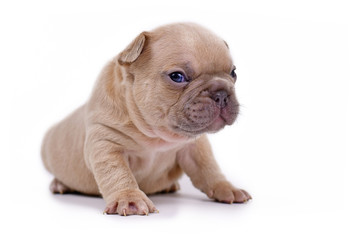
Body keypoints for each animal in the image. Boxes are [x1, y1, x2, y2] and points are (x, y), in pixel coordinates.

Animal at [41, 22, 250, 216]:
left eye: (233, 73)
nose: (221, 93)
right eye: (177, 76)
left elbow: (209, 168)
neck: (156, 135)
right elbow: (117, 173)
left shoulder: (195, 147)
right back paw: (59, 184)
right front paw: (129, 198)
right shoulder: (106, 143)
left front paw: (227, 188)